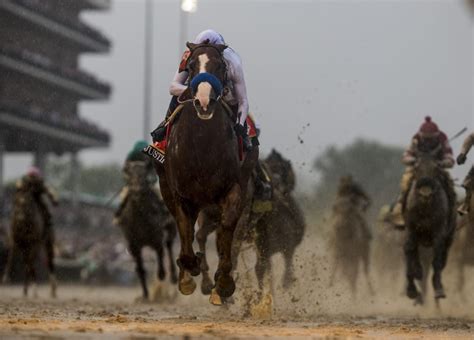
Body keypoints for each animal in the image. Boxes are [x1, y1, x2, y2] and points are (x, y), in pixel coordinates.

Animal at [118, 162, 178, 300]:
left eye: (143, 176)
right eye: (130, 176)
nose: (137, 190)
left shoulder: (157, 237)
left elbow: (160, 252)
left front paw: (162, 275)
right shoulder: (133, 244)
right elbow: (140, 269)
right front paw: (145, 294)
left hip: (172, 226)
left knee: (169, 245)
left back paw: (173, 277)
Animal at [155, 41, 260, 304]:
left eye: (220, 66)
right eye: (191, 65)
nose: (204, 100)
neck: (202, 145)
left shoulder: (234, 189)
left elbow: (227, 229)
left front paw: (223, 282)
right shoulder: (181, 194)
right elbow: (184, 228)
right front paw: (188, 272)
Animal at [404, 153, 456, 304]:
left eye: (437, 168)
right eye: (416, 168)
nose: (425, 193)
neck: (425, 208)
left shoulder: (439, 233)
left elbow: (437, 261)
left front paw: (438, 289)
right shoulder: (411, 229)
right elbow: (409, 251)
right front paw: (411, 289)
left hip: (449, 237)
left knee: (443, 256)